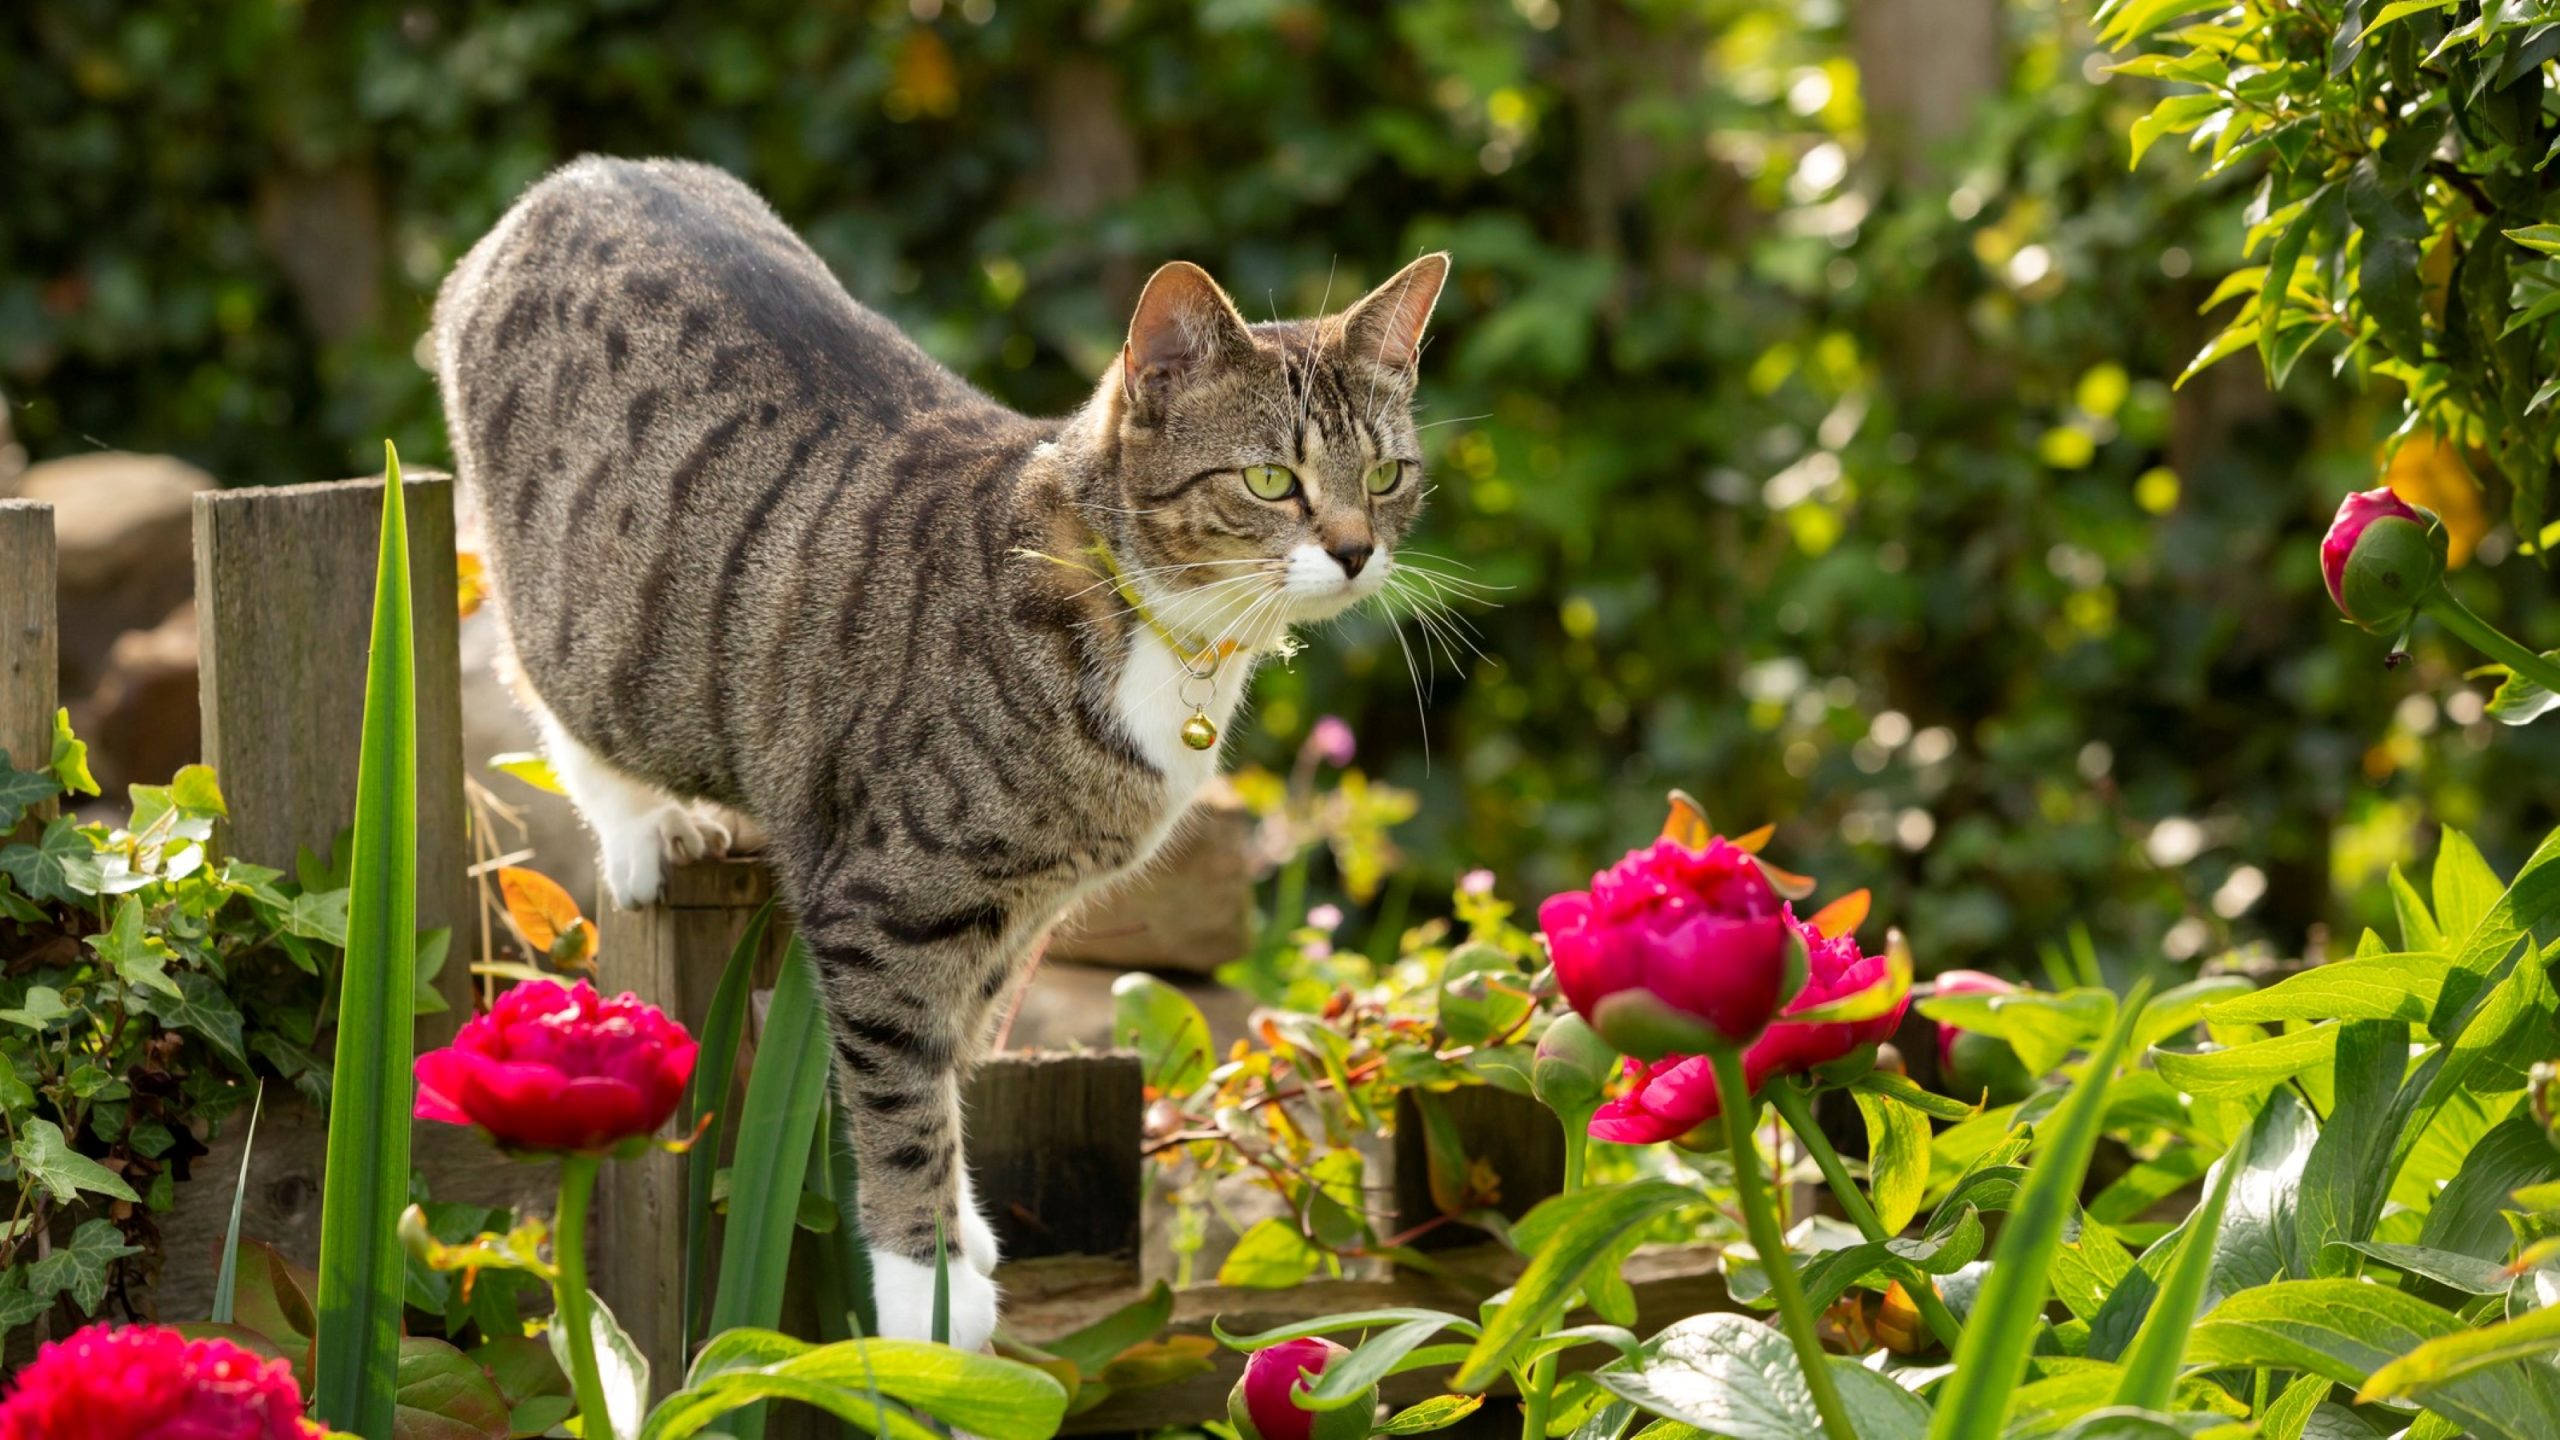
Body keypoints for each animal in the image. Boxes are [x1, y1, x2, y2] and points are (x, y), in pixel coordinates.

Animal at [432, 159, 1454, 1342]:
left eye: (1385, 477)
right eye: (1269, 481)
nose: (1356, 551)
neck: (1152, 621)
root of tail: (574, 178)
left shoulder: (1018, 915)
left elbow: (959, 1054)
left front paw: (963, 1233)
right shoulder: (884, 905)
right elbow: (903, 1089)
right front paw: (930, 1285)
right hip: (584, 624)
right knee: (545, 685)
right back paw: (647, 828)